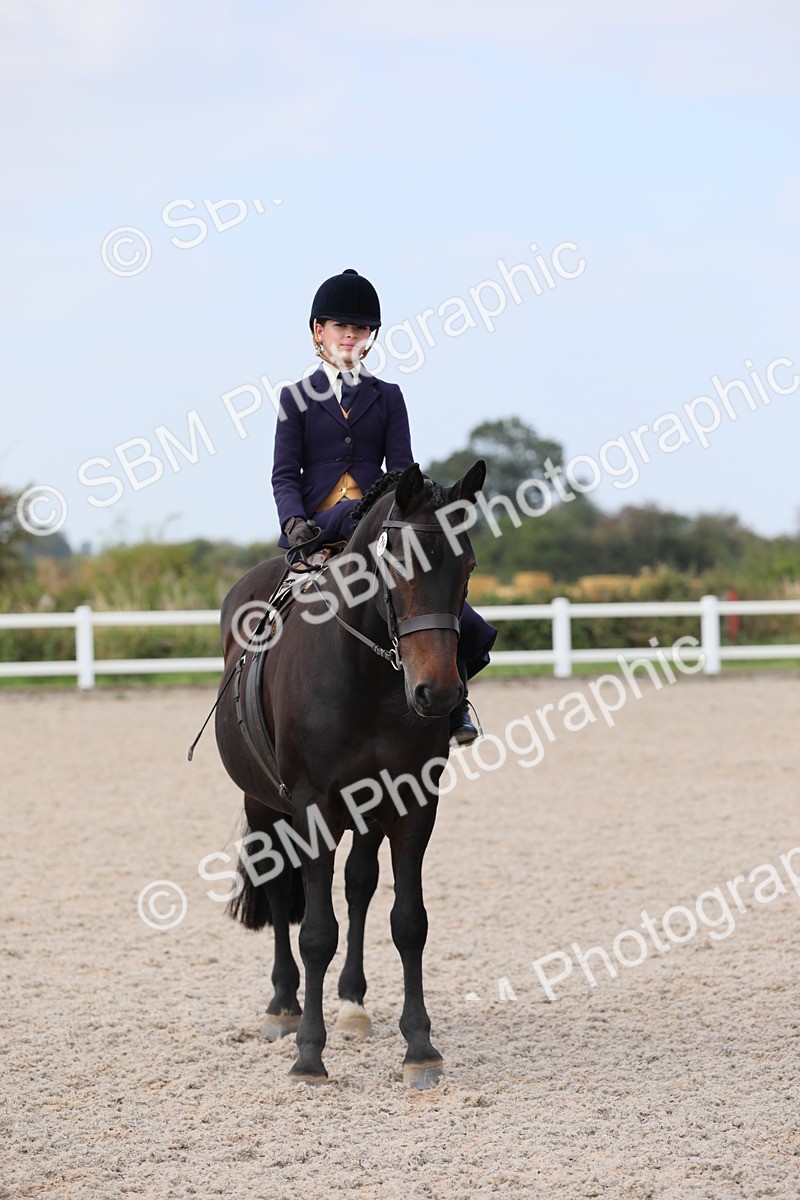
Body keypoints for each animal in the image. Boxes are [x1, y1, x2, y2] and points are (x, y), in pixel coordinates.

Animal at [214, 459, 485, 1087]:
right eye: (397, 563)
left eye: (467, 565)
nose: (438, 694)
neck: (364, 669)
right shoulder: (311, 807)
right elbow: (316, 932)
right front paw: (309, 1055)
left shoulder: (414, 802)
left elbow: (408, 920)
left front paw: (420, 1048)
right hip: (265, 804)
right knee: (279, 885)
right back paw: (283, 1005)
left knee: (359, 883)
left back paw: (353, 1003)